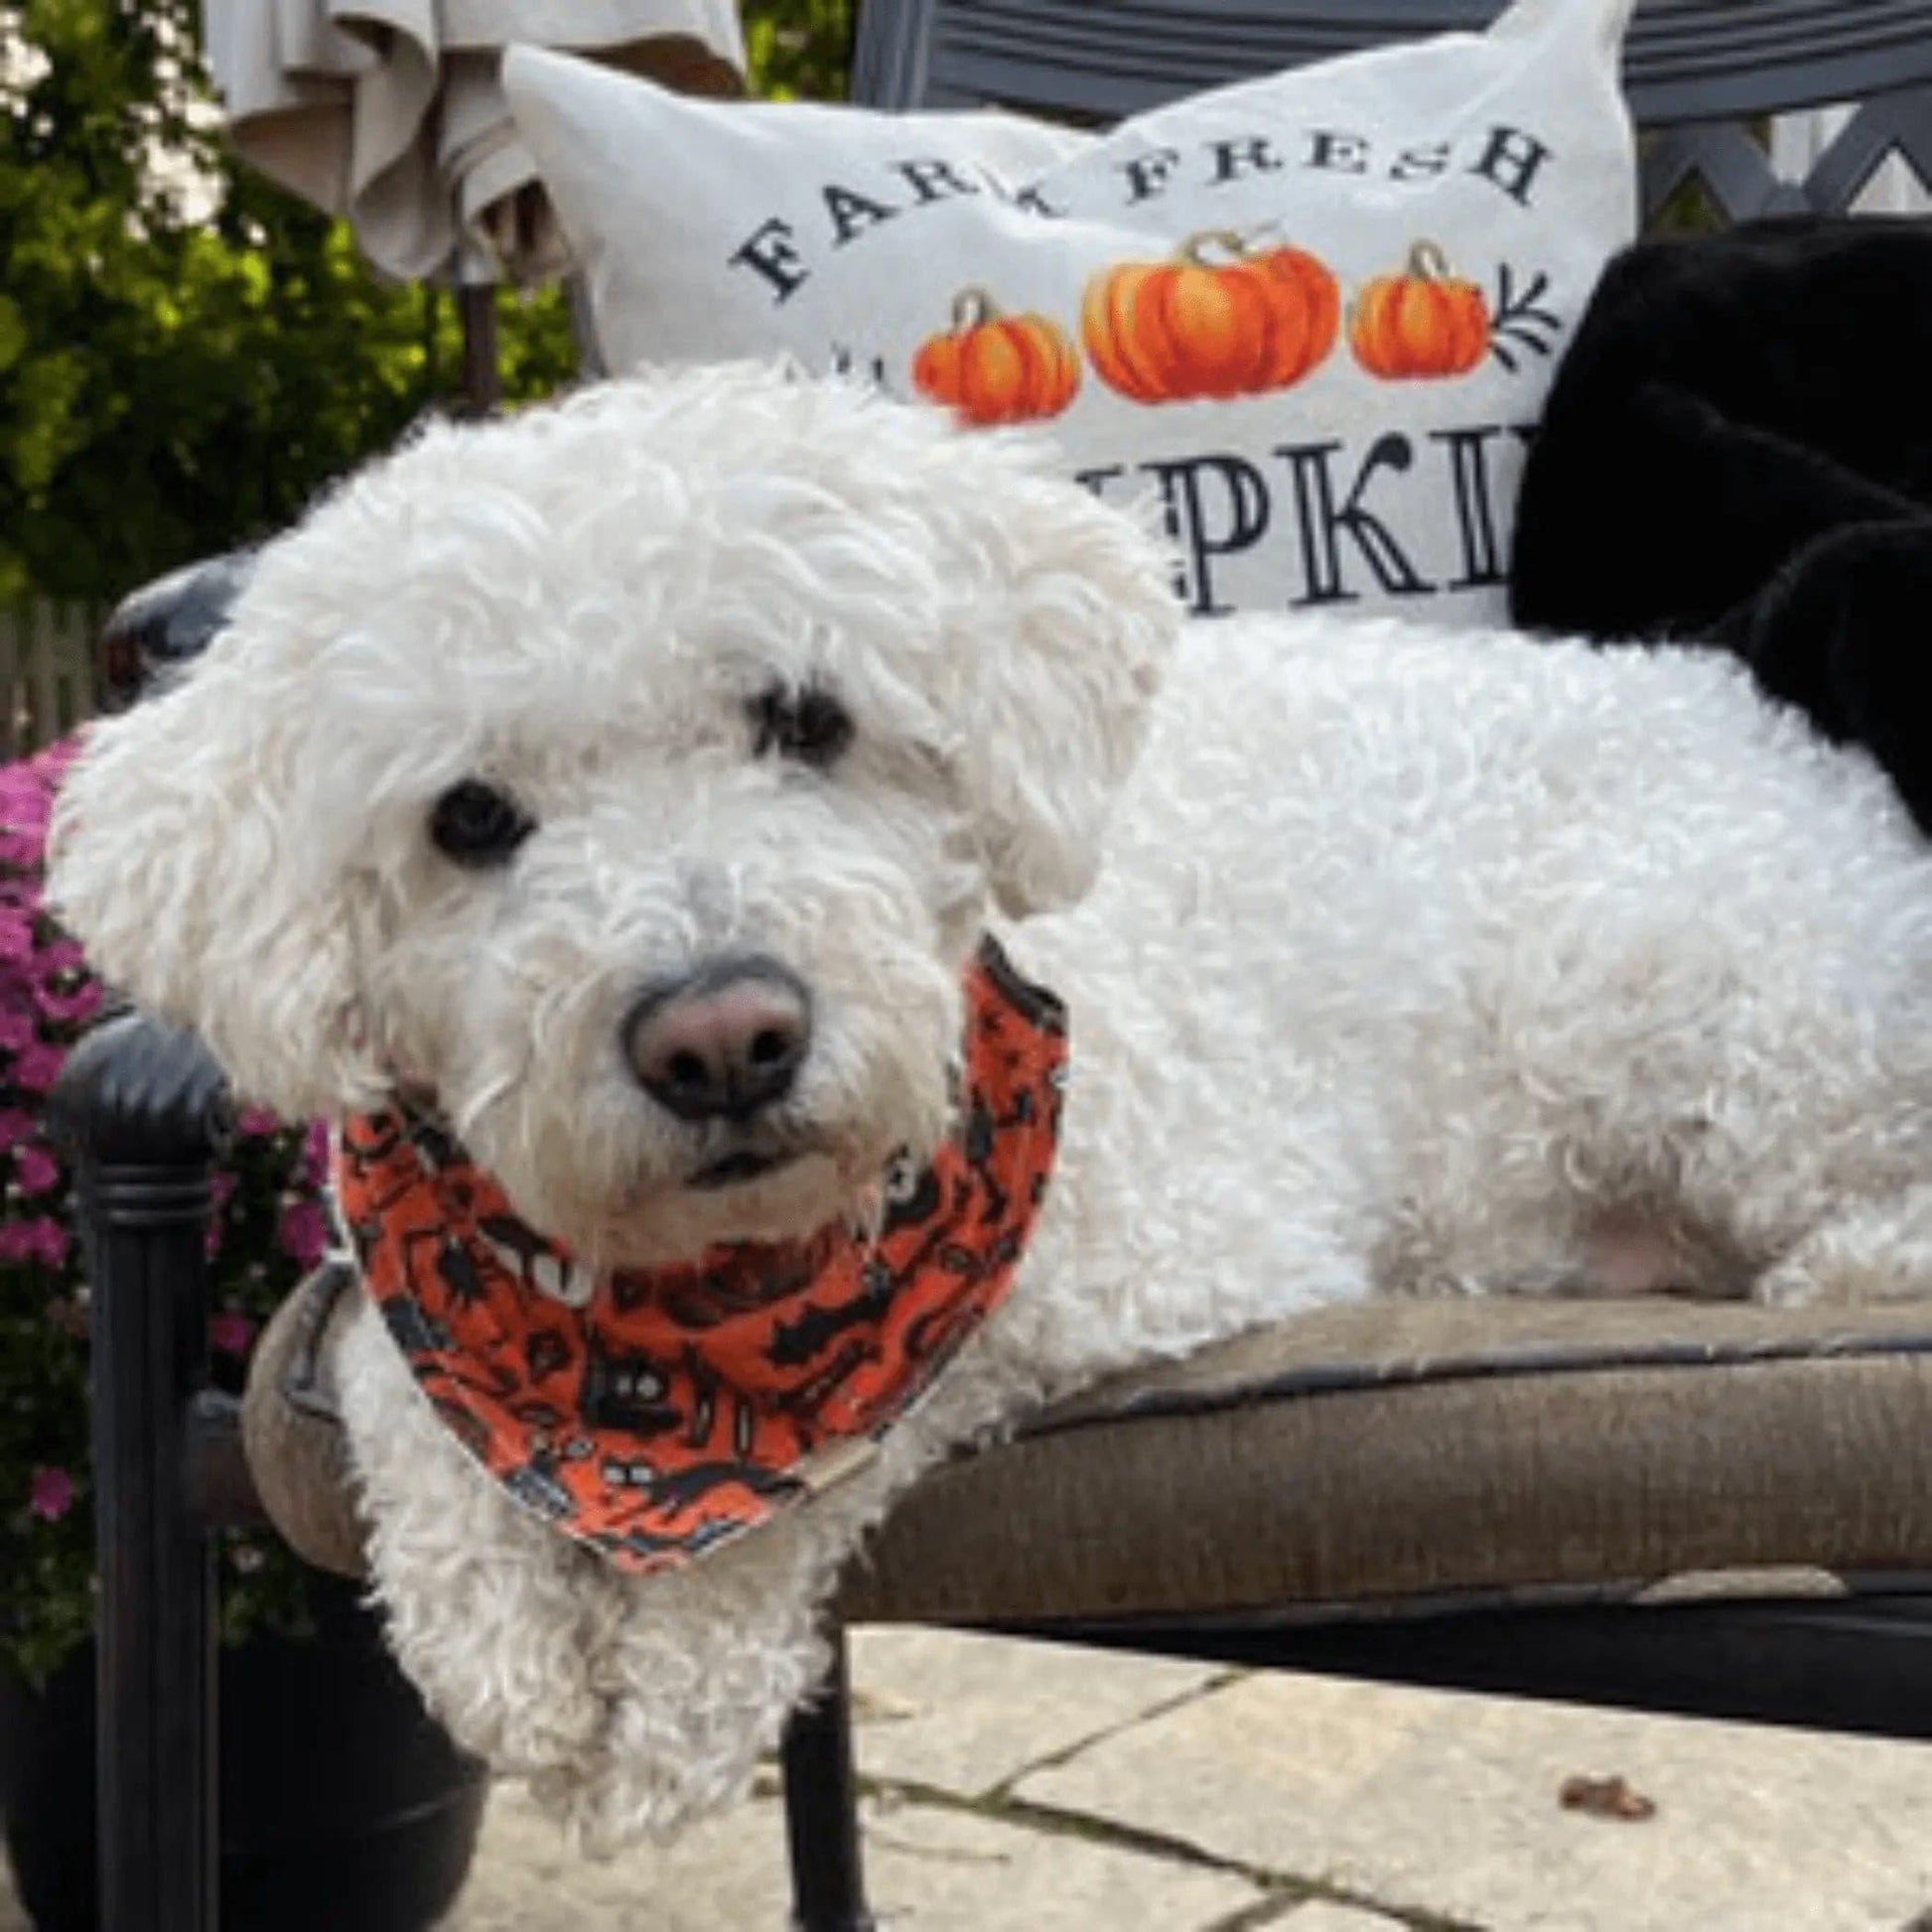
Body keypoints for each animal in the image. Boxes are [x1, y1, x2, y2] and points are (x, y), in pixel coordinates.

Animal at [41, 355, 1932, 1847]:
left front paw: (669, 1692)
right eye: (470, 819)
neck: (694, 1300)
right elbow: (393, 1373)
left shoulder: (1141, 1244)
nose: (724, 1037)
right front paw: (499, 1643)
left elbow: (822, 1462)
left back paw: (1836, 1268)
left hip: (1680, 981)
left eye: (805, 717)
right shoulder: (408, 1254)